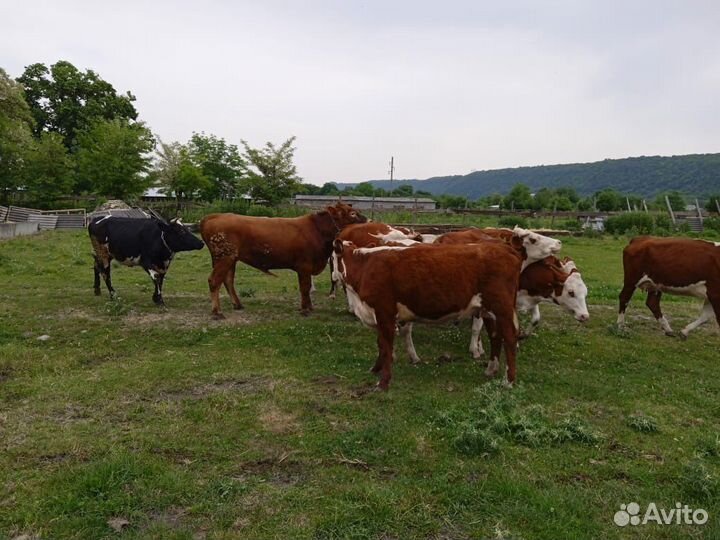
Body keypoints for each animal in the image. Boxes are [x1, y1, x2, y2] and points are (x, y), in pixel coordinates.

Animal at [199, 203, 367, 319]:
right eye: (353, 213)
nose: (368, 220)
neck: (317, 230)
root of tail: (213, 216)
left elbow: (306, 288)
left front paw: (309, 307)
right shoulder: (304, 266)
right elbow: (305, 287)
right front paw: (305, 309)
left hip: (230, 259)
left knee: (227, 280)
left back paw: (237, 304)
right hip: (224, 258)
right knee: (214, 281)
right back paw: (217, 312)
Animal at [332, 240, 522, 390]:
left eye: (332, 258)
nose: (333, 277)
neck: (365, 266)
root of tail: (504, 248)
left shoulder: (384, 312)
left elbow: (386, 347)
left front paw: (383, 382)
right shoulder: (379, 315)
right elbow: (381, 344)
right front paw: (375, 369)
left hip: (502, 309)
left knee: (509, 339)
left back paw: (509, 380)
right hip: (488, 311)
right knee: (495, 336)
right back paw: (490, 370)